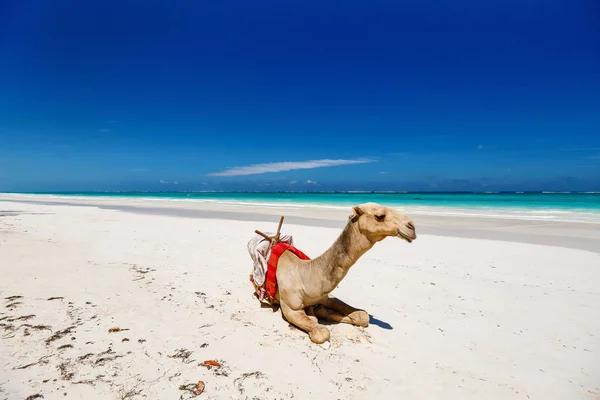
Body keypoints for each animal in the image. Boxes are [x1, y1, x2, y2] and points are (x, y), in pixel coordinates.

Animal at [266, 203, 412, 344]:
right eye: (379, 216)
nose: (411, 226)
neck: (303, 276)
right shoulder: (291, 309)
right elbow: (322, 333)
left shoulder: (326, 296)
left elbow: (363, 316)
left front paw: (321, 310)